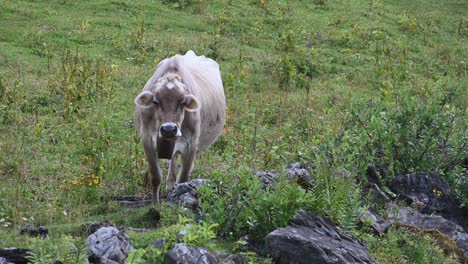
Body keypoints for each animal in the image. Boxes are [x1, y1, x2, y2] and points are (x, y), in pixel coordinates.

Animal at [133, 51, 227, 204]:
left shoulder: (192, 144)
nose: (169, 129)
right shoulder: (147, 138)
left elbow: (183, 178)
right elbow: (155, 176)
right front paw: (155, 204)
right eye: (155, 102)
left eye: (182, 102)